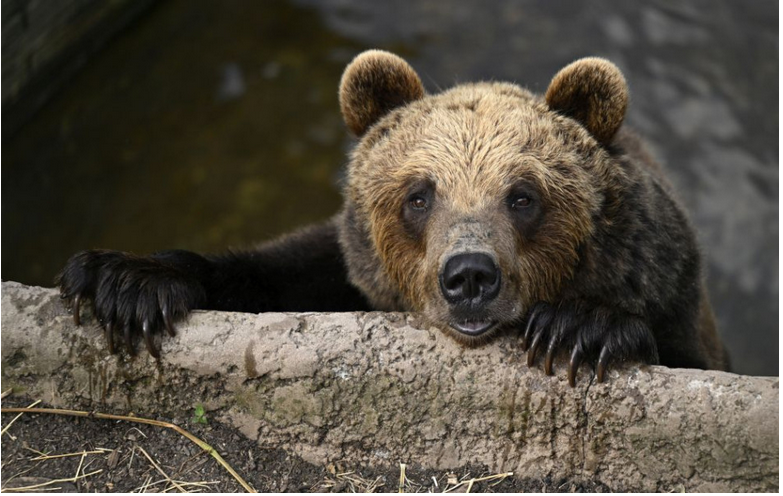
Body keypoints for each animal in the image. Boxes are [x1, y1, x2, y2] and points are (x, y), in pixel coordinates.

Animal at [58, 49, 732, 384]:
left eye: (523, 196)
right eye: (419, 195)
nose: (469, 276)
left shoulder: (663, 283)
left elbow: (676, 352)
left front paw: (579, 328)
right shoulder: (347, 267)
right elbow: (265, 271)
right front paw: (125, 281)